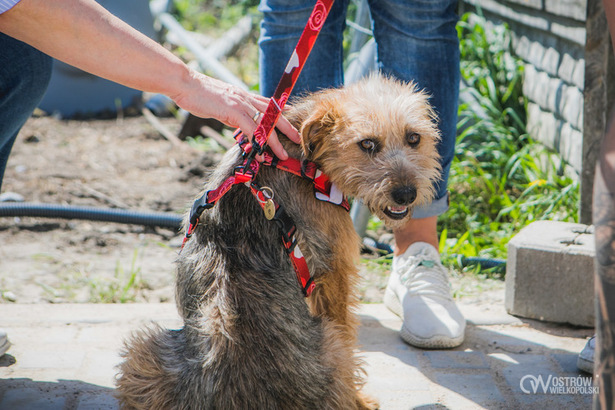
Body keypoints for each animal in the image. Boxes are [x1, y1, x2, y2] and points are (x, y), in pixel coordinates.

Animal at [116, 74, 442, 410]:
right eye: (367, 144)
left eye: (414, 138)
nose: (406, 194)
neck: (298, 158)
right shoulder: (336, 272)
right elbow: (347, 327)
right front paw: (360, 397)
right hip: (331, 345)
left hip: (141, 356)